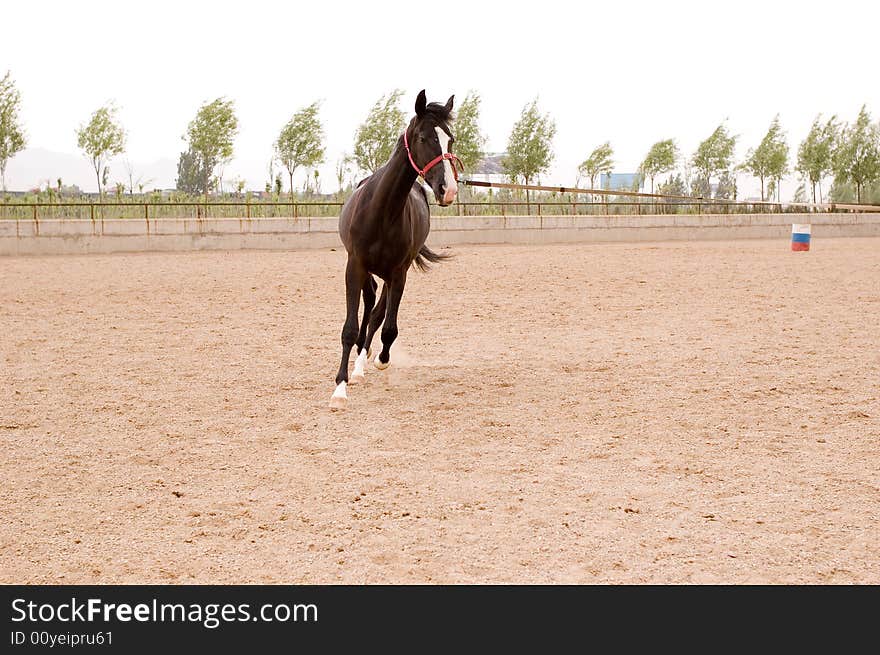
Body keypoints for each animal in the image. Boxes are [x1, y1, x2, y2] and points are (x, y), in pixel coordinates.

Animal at [330, 91, 460, 410]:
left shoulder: (399, 273)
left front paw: (381, 359)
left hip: (390, 276)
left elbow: (388, 327)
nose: (448, 189)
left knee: (377, 313)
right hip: (367, 272)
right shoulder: (354, 266)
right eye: (424, 137)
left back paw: (365, 362)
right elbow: (350, 328)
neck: (382, 212)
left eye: (450, 139)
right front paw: (339, 389)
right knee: (369, 303)